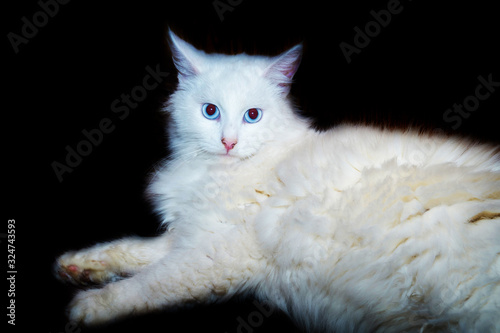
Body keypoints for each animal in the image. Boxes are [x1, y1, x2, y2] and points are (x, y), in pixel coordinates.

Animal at [55, 29, 500, 330]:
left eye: (252, 116)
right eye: (211, 111)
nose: (229, 142)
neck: (216, 171)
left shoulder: (217, 256)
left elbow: (148, 283)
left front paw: (91, 304)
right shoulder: (191, 235)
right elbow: (130, 249)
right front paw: (78, 266)